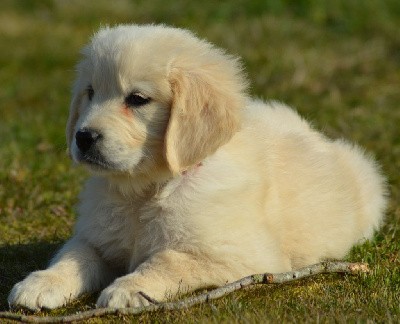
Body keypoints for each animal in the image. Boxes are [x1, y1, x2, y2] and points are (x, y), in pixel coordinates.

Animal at [7, 24, 386, 308]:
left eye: (137, 99)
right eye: (90, 93)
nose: (83, 137)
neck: (145, 191)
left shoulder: (245, 257)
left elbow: (170, 259)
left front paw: (128, 289)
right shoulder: (98, 236)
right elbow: (74, 254)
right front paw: (40, 283)